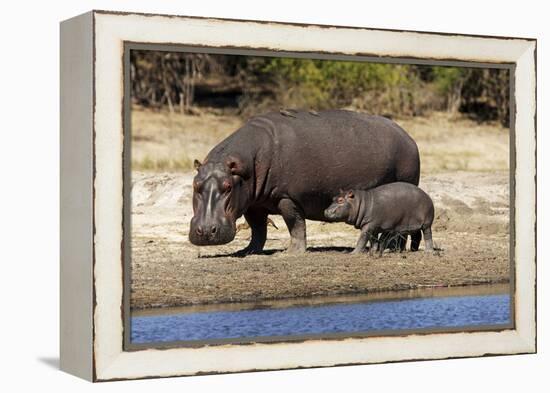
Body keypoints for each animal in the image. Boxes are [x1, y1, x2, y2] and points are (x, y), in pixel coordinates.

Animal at [188, 108, 420, 253]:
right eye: (195, 185)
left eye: (227, 186)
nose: (206, 231)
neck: (245, 166)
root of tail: (408, 136)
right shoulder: (253, 203)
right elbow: (258, 229)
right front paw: (248, 251)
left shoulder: (287, 197)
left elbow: (295, 225)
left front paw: (292, 252)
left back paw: (393, 249)